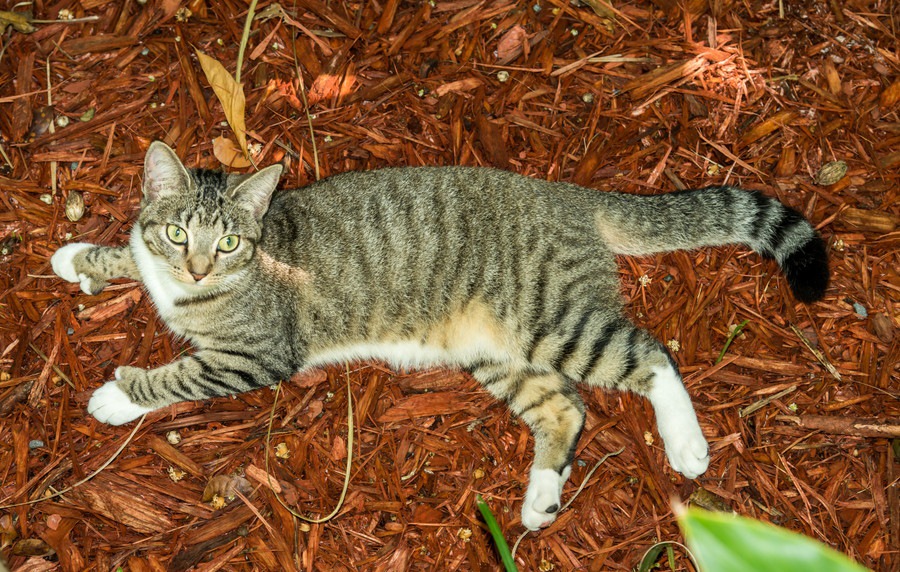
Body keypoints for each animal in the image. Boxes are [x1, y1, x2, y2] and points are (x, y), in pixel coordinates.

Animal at [51, 142, 828, 532]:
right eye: (179, 233)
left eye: (231, 241)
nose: (196, 264)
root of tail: (566, 195)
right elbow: (130, 252)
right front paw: (83, 258)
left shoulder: (255, 355)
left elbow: (179, 374)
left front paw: (117, 396)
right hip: (499, 353)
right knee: (565, 407)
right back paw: (541, 495)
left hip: (554, 319)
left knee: (653, 356)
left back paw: (686, 444)